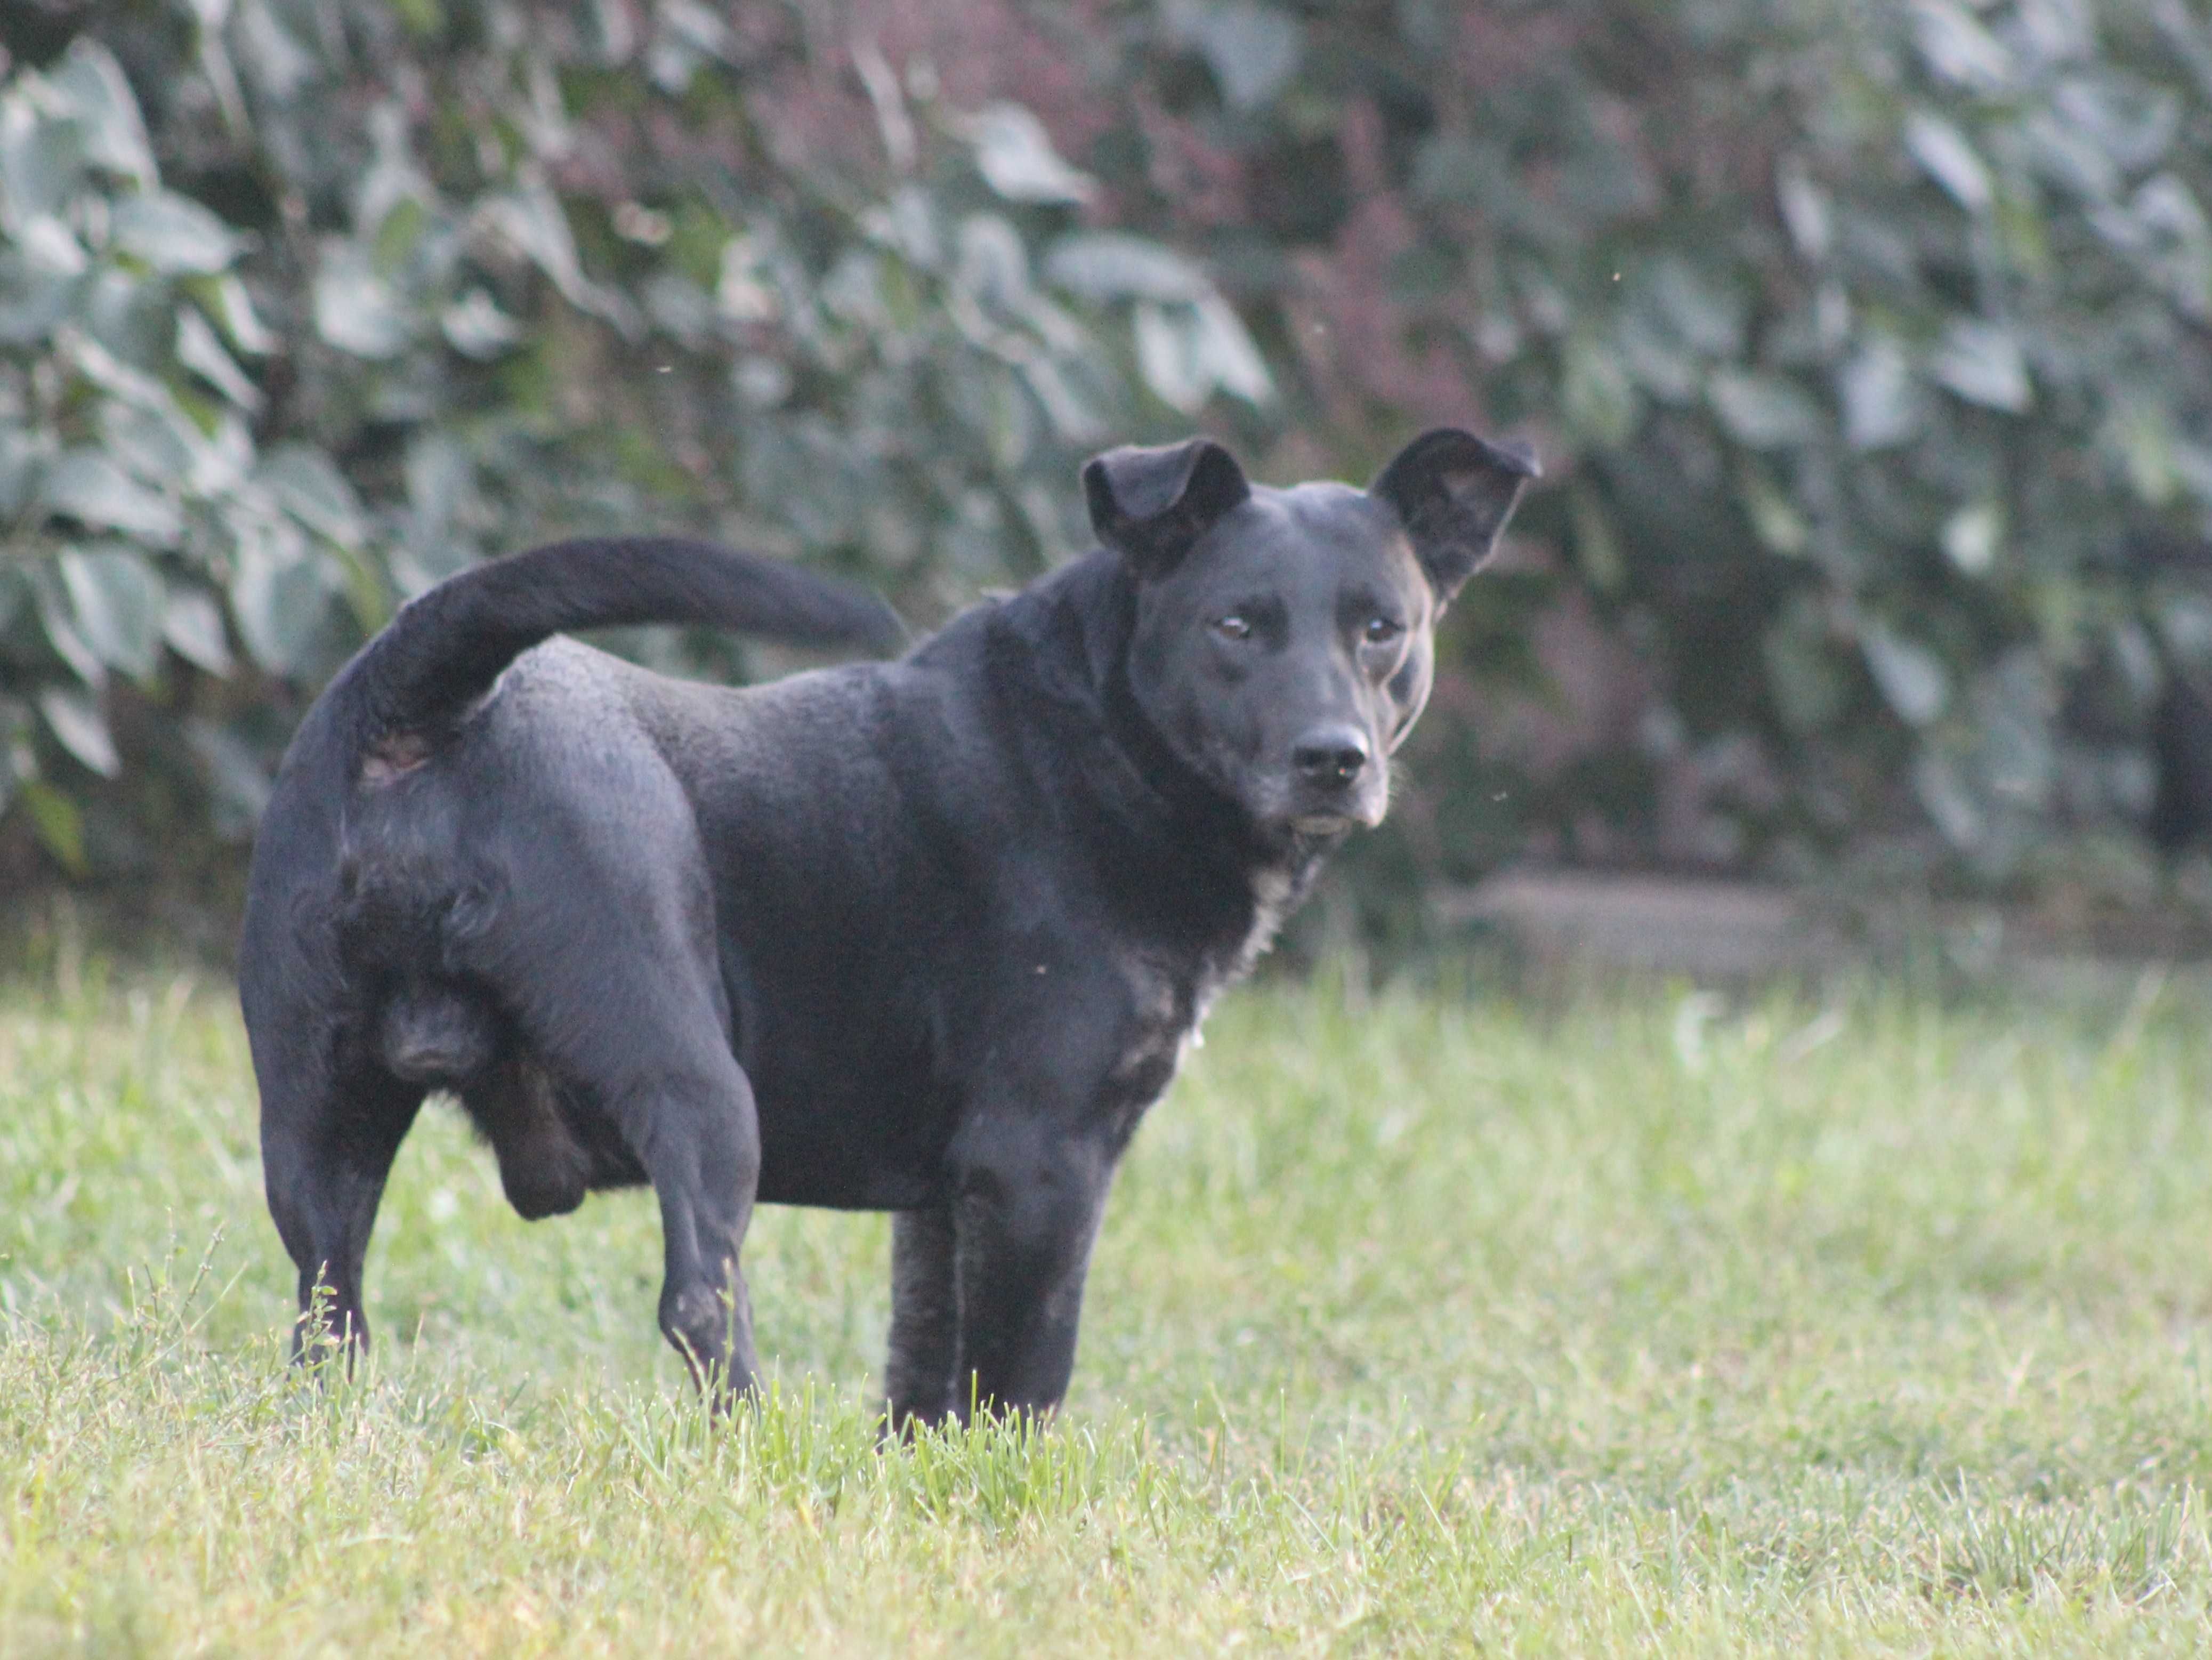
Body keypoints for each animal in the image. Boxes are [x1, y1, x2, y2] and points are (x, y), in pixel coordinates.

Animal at [233, 431, 1530, 1434]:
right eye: (1237, 625)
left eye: (1382, 628)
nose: (1333, 759)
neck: (1100, 739)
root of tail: (427, 699)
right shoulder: (1043, 1159)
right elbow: (1019, 1378)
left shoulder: (945, 1199)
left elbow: (924, 1371)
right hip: (696, 1080)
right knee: (700, 1302)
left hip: (318, 1117)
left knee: (325, 1309)